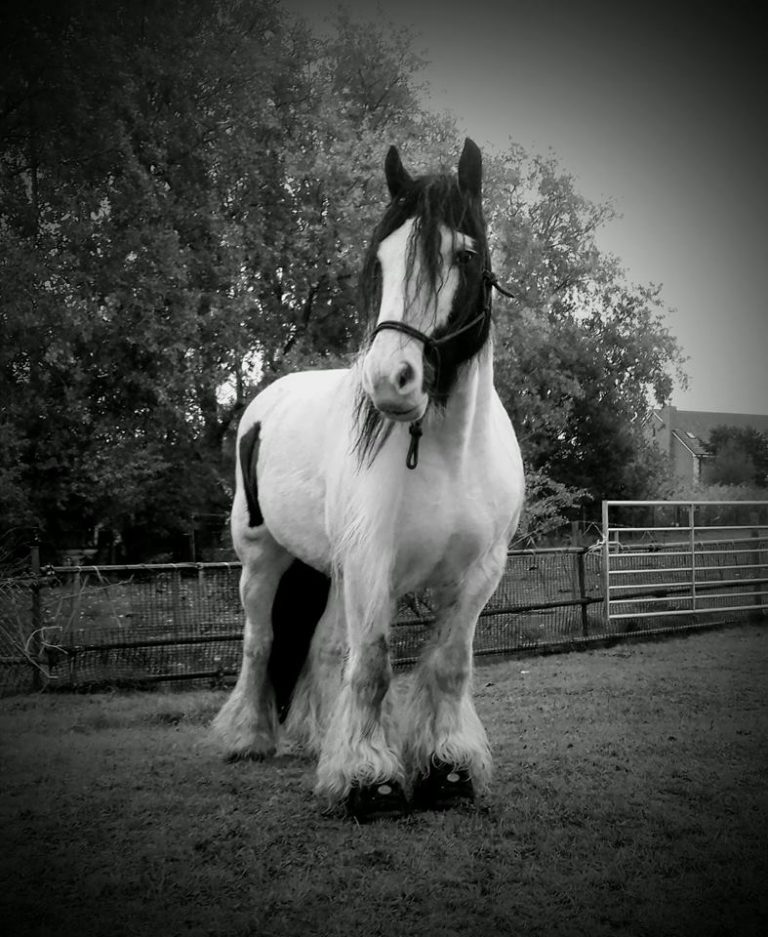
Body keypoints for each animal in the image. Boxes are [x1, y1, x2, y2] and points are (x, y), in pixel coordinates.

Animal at [212, 138, 525, 821]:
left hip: (330, 570)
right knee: (261, 641)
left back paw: (315, 739)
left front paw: (447, 769)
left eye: (465, 254)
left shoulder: (480, 572)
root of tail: (265, 403)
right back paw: (247, 737)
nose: (390, 379)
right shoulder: (371, 561)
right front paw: (367, 780)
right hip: (263, 560)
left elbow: (447, 666)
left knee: (323, 647)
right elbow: (374, 665)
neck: (447, 455)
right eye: (380, 260)